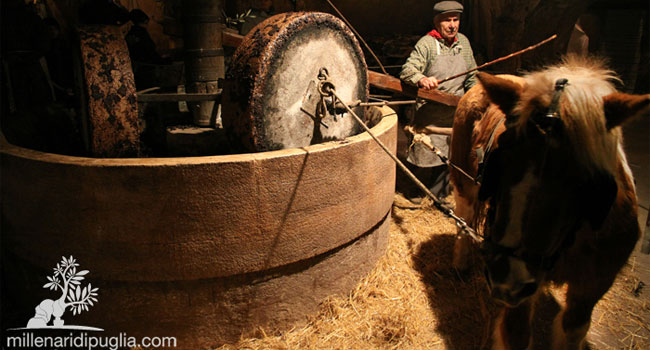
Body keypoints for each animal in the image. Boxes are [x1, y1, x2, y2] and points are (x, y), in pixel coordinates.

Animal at [448, 56, 644, 348]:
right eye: (502, 158)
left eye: (585, 181)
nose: (505, 275)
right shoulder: (521, 285)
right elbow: (515, 334)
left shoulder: (594, 284)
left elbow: (572, 329)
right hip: (463, 180)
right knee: (463, 215)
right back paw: (460, 264)